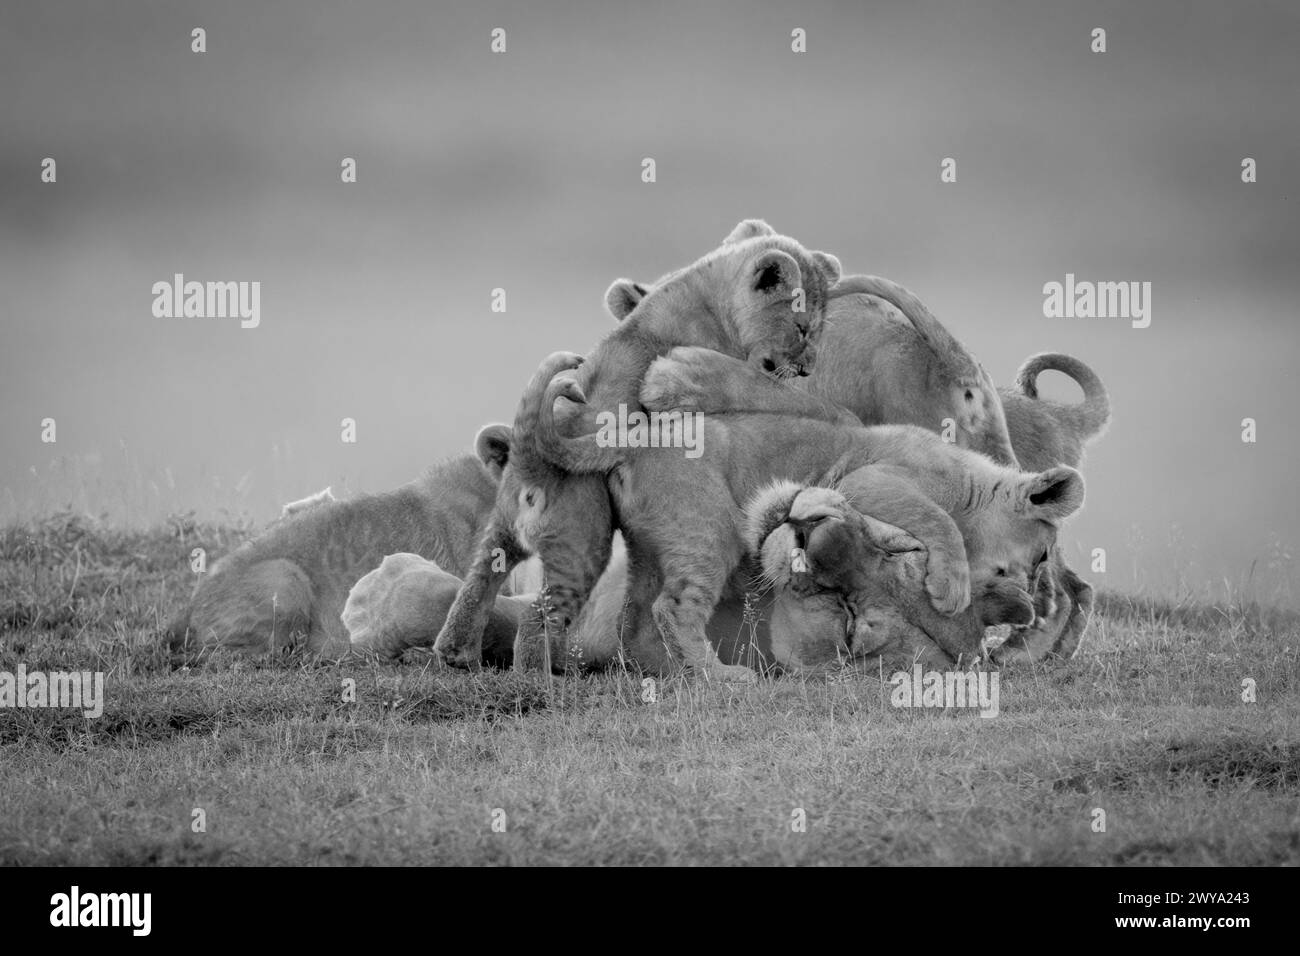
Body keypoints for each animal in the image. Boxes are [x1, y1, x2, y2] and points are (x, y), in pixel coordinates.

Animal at [432, 220, 843, 670]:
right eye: (802, 328)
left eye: (818, 331)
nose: (807, 369)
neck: (707, 294)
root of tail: (528, 462)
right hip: (583, 543)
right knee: (538, 617)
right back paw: (539, 673)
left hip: (501, 530)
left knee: (478, 582)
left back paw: (456, 651)